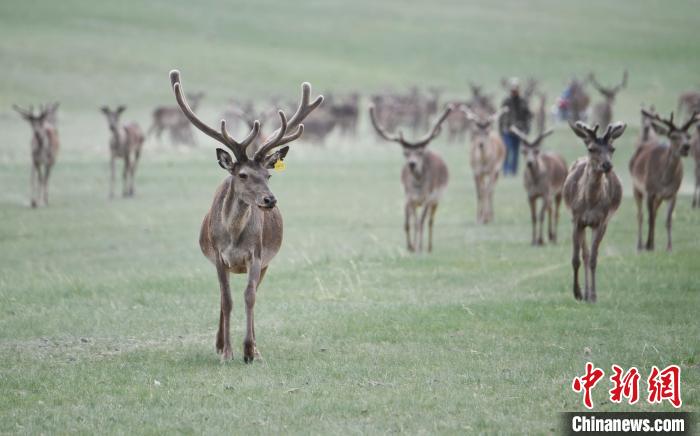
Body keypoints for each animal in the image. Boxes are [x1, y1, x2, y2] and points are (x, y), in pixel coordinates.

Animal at [170, 70, 322, 363]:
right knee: (222, 297)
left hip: (265, 263)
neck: (233, 237)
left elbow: (249, 296)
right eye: (243, 175)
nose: (270, 200)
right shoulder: (219, 257)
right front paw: (227, 352)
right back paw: (219, 343)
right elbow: (226, 300)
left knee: (252, 292)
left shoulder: (257, 255)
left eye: (268, 174)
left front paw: (250, 350)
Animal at [369, 103, 453, 253]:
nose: (412, 164)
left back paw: (429, 247)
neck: (418, 188)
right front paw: (412, 247)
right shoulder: (409, 198)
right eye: (405, 152)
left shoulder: (428, 198)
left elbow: (421, 222)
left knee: (430, 221)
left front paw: (419, 247)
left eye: (420, 152)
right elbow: (412, 222)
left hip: (436, 199)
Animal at [564, 121, 627, 302]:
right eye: (591, 149)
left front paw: (593, 296)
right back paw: (583, 294)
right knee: (584, 254)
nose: (607, 165)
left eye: (612, 148)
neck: (590, 203)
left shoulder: (602, 221)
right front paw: (577, 293)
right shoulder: (576, 219)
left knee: (589, 255)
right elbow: (576, 259)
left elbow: (593, 259)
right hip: (583, 224)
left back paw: (588, 294)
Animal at [629, 110, 699, 251]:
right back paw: (640, 245)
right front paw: (648, 246)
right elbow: (650, 218)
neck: (664, 180)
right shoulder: (650, 191)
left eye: (688, 136)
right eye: (673, 136)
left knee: (655, 213)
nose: (686, 146)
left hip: (659, 197)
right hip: (636, 187)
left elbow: (668, 220)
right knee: (640, 216)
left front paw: (669, 247)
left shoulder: (673, 193)